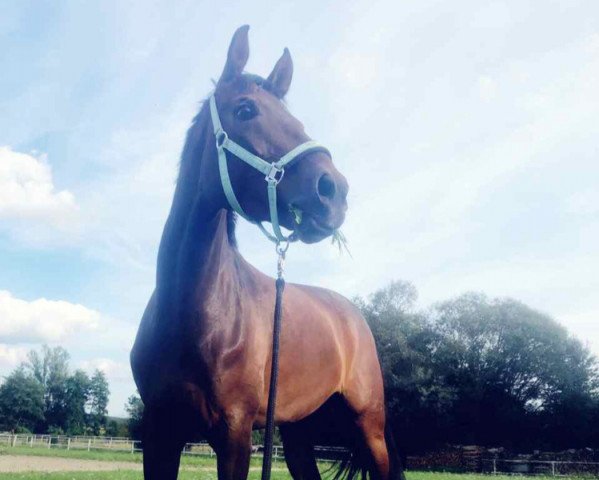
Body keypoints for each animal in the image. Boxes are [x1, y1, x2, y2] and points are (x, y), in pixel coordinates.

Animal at [131, 26, 404, 480]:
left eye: (297, 121)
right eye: (245, 110)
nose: (334, 191)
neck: (193, 313)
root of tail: (353, 316)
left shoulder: (235, 433)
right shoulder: (159, 433)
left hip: (370, 428)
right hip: (298, 434)